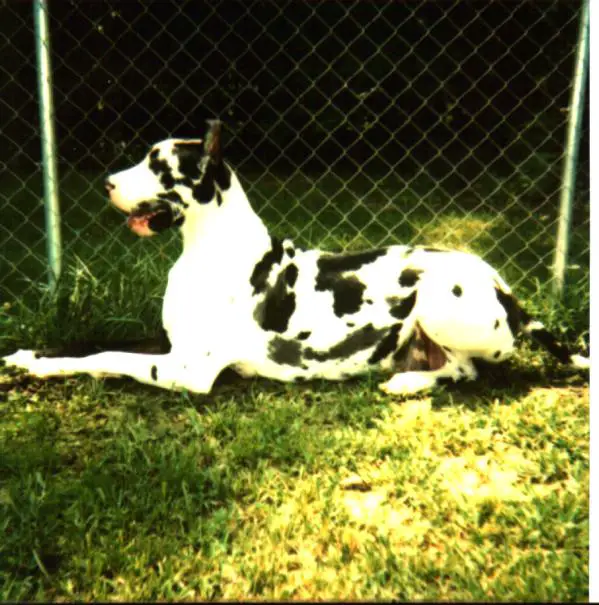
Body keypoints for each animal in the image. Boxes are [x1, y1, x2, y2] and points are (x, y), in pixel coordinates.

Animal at [2, 121, 588, 396]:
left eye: (157, 163)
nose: (106, 183)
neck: (210, 249)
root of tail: (510, 293)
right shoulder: (167, 343)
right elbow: (91, 343)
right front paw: (30, 356)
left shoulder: (186, 369)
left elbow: (105, 357)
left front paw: (45, 367)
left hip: (440, 298)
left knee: (470, 371)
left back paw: (408, 383)